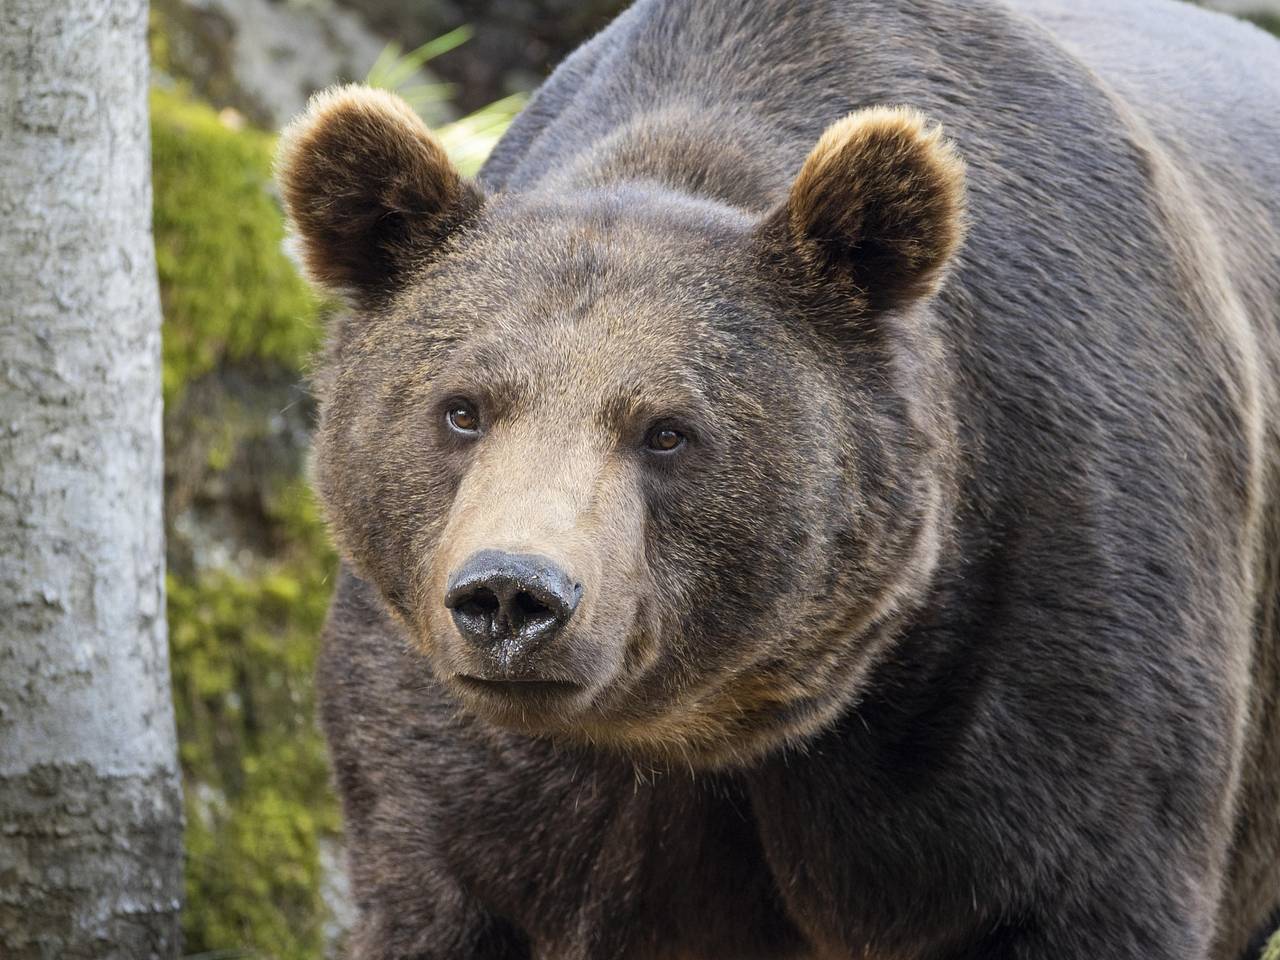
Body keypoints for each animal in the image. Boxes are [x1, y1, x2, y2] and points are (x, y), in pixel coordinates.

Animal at [274, 0, 1280, 957]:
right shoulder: (451, 764)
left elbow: (1085, 863)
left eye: (668, 431)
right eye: (463, 408)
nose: (513, 596)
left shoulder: (1045, 637)